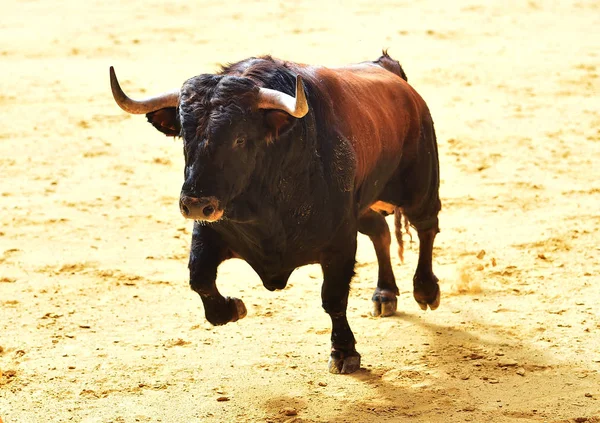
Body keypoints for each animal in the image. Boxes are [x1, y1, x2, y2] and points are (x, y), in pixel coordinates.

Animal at [110, 53, 442, 374]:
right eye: (185, 137)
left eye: (239, 138)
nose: (194, 204)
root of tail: (391, 72)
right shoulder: (209, 231)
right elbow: (200, 278)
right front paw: (232, 308)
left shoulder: (339, 243)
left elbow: (334, 298)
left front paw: (344, 352)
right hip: (363, 207)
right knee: (380, 232)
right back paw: (385, 294)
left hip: (420, 187)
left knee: (426, 227)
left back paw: (425, 291)